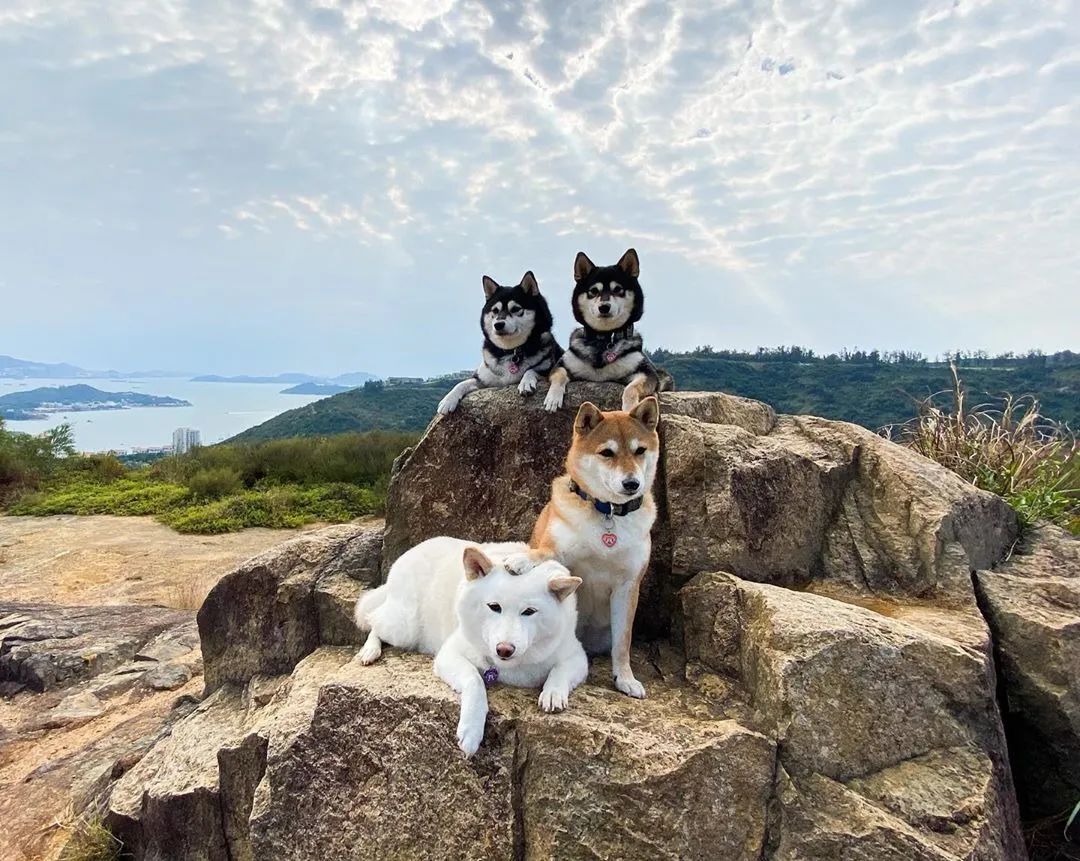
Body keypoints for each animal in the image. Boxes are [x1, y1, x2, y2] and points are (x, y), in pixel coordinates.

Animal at [354, 540, 587, 756]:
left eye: (529, 611)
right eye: (494, 607)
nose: (504, 649)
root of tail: (414, 549)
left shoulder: (577, 656)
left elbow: (560, 670)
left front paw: (553, 692)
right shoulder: (449, 654)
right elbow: (474, 680)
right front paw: (471, 730)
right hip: (403, 628)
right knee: (373, 620)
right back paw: (370, 650)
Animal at [509, 395, 660, 700]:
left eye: (640, 450)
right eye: (607, 453)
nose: (632, 483)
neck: (608, 512)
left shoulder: (628, 585)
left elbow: (623, 643)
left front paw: (625, 678)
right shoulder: (558, 551)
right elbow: (542, 552)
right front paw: (522, 560)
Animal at [544, 248, 669, 412]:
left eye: (618, 289)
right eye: (593, 291)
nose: (604, 307)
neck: (605, 339)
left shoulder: (647, 373)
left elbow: (631, 388)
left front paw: (629, 408)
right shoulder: (563, 364)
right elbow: (559, 375)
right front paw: (553, 398)